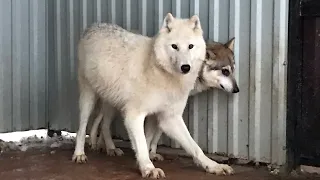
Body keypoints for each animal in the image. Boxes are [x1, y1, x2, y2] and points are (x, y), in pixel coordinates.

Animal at [89, 38, 239, 162]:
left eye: (233, 70)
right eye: (225, 71)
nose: (237, 90)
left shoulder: (163, 110)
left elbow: (155, 135)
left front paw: (152, 153)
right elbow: (148, 136)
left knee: (100, 120)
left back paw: (99, 145)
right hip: (112, 105)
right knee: (104, 125)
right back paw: (110, 148)